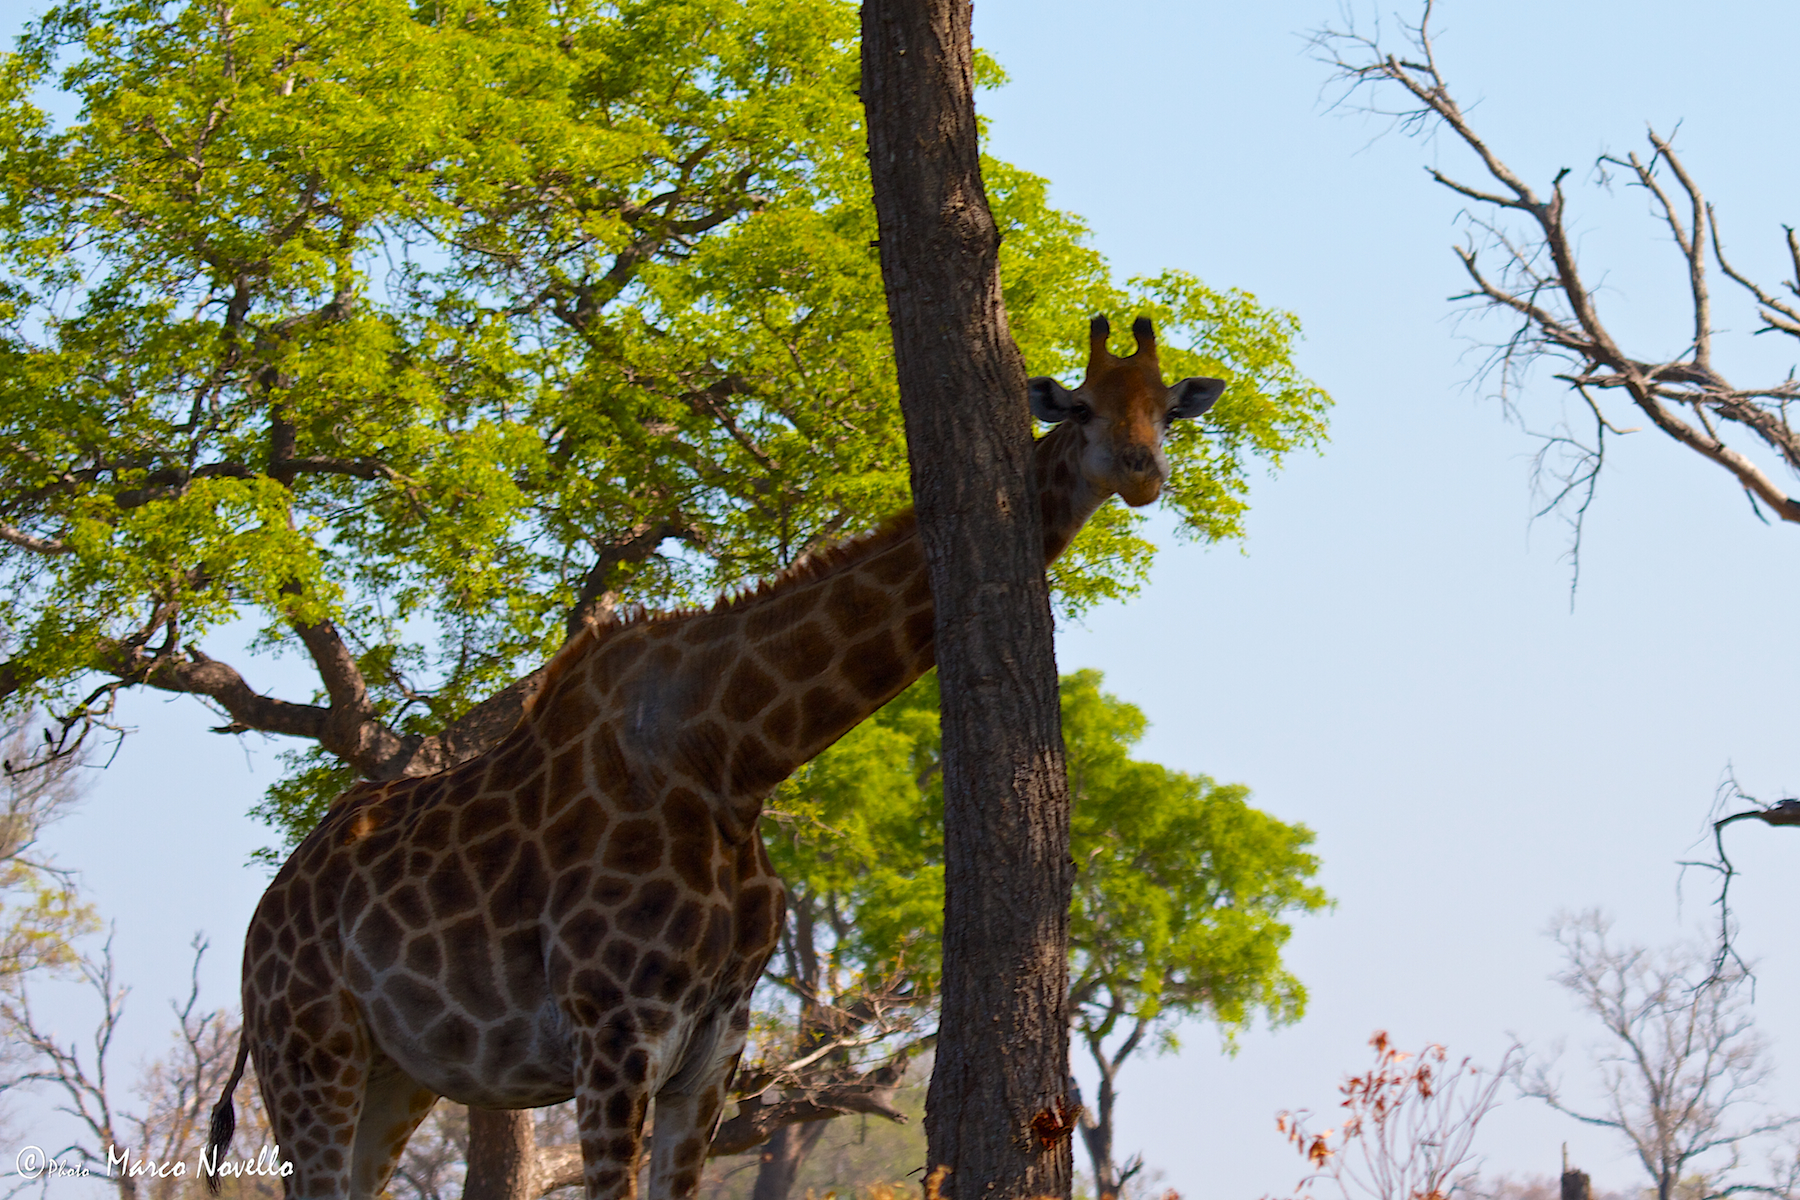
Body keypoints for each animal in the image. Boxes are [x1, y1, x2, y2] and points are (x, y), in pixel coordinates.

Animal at [204, 316, 1223, 1200]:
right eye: (1080, 407)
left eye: (1168, 408)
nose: (1142, 472)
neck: (732, 757)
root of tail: (260, 919)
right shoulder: (612, 1037)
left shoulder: (712, 1052)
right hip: (311, 1055)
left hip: (396, 1075)